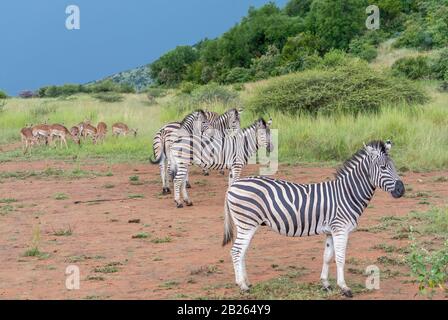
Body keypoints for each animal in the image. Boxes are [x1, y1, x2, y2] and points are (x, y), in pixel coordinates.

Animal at [224, 141, 406, 298]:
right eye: (383, 167)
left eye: (394, 166)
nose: (401, 190)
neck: (347, 194)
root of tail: (234, 185)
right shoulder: (340, 229)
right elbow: (340, 258)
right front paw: (344, 288)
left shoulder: (331, 231)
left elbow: (327, 257)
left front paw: (326, 284)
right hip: (247, 223)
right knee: (236, 251)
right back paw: (242, 286)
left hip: (246, 225)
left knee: (242, 252)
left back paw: (247, 282)